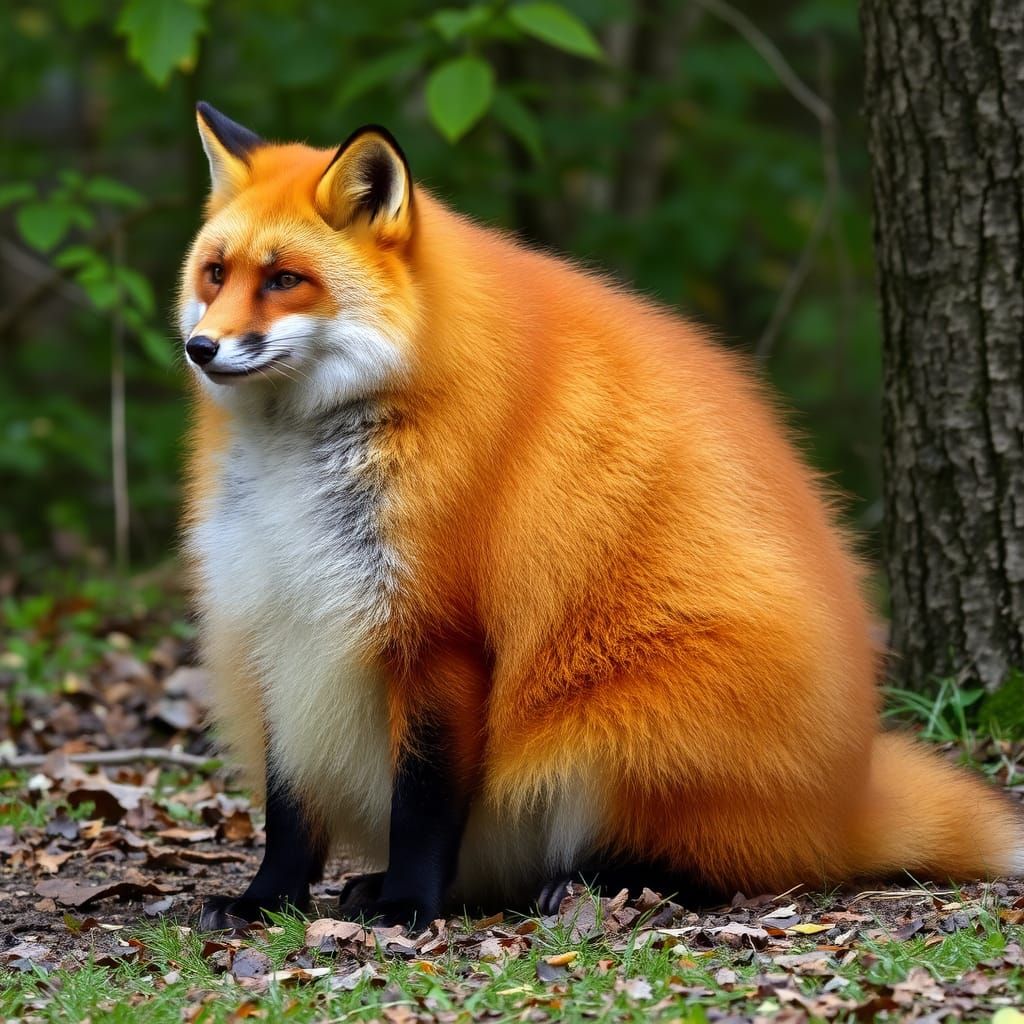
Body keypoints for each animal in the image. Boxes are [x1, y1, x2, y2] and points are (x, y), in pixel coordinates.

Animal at [180, 101, 1022, 930]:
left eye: (286, 279)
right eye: (216, 273)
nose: (200, 346)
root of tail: (847, 796)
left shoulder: (440, 634)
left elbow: (422, 805)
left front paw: (409, 906)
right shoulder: (280, 622)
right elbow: (289, 809)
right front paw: (266, 901)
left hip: (616, 728)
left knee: (724, 872)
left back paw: (597, 884)